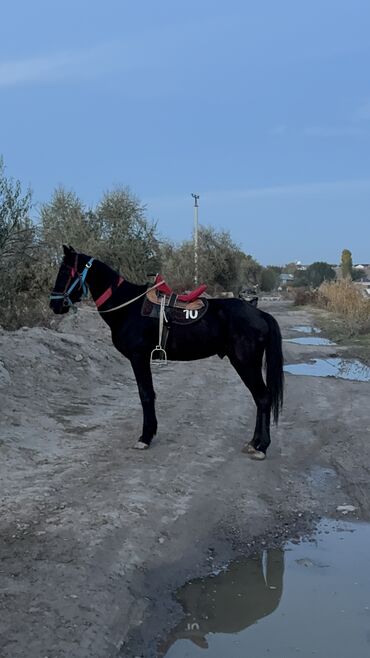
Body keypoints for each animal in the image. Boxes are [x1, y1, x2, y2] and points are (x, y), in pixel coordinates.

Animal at [49, 245, 284, 456]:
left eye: (65, 271)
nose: (54, 305)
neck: (127, 307)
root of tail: (261, 314)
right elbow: (149, 393)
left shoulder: (139, 357)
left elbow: (145, 394)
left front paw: (145, 437)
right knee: (260, 399)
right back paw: (254, 443)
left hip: (246, 363)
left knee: (263, 398)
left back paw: (260, 446)